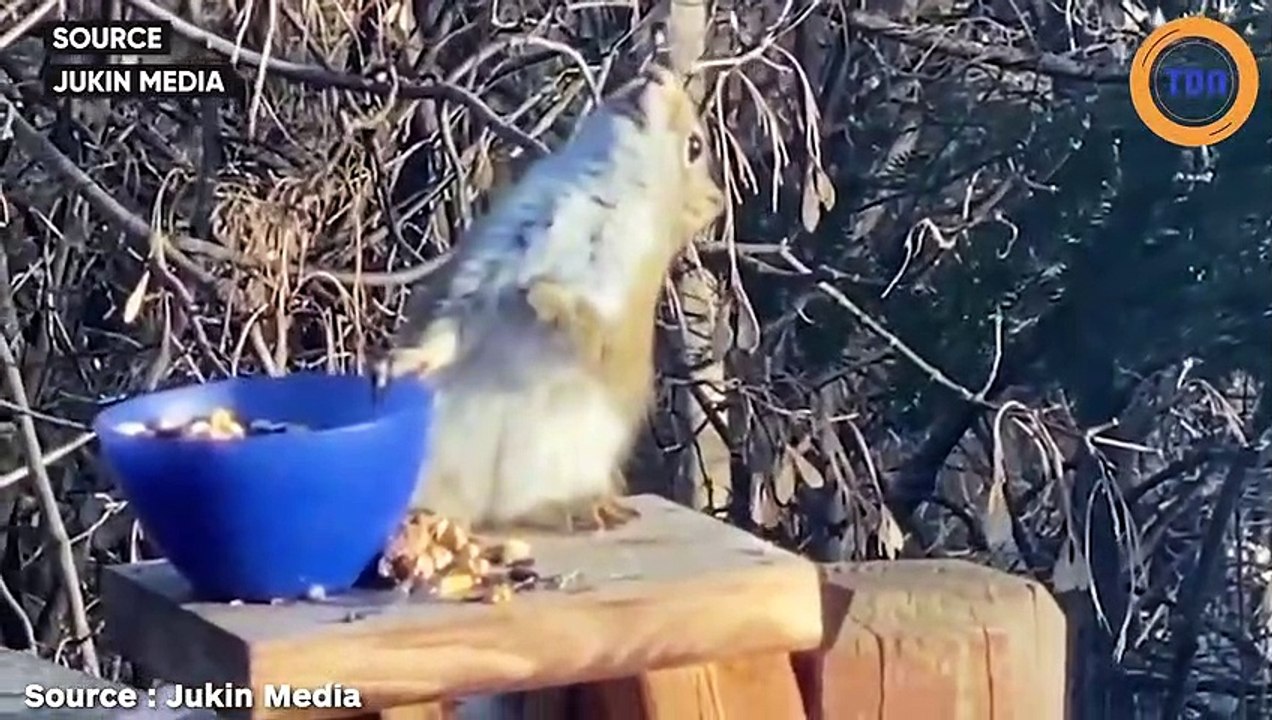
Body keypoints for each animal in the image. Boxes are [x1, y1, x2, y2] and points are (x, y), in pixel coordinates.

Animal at [377, 64, 724, 533]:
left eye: (695, 146)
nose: (653, 72)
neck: (601, 185)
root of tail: (480, 509)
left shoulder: (618, 302)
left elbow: (590, 334)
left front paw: (540, 293)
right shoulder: (483, 269)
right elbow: (447, 330)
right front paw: (403, 362)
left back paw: (583, 508)